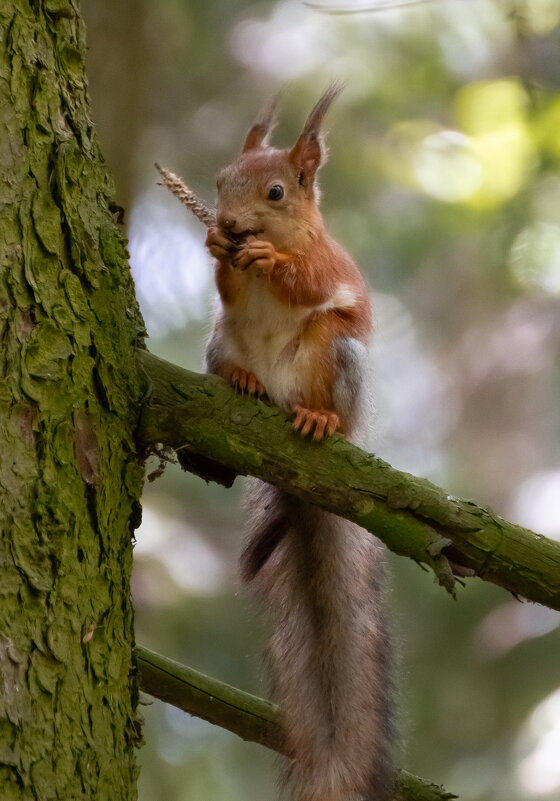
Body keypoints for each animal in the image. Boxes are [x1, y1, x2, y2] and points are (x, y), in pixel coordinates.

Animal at [206, 87, 394, 800]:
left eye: (278, 192)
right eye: (219, 181)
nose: (230, 225)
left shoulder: (326, 264)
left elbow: (305, 282)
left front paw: (269, 262)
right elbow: (227, 286)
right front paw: (215, 247)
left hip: (334, 358)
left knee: (326, 374)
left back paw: (317, 419)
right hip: (219, 341)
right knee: (229, 358)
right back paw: (241, 379)